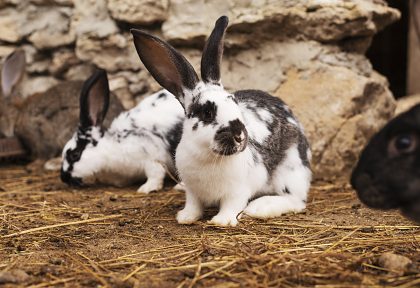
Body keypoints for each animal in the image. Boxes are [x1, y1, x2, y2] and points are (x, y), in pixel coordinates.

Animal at [131, 16, 312, 227]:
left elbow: (232, 205)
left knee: (296, 200)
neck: (208, 156)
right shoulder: (192, 191)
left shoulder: (238, 190)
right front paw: (185, 217)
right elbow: (193, 205)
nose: (239, 136)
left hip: (290, 170)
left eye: (235, 103)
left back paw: (259, 208)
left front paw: (221, 221)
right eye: (207, 113)